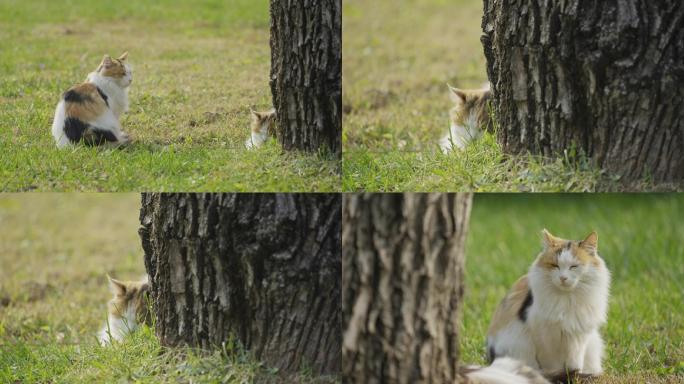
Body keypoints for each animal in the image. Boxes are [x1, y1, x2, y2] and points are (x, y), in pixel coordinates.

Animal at [486, 230, 608, 380]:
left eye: (574, 267)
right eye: (555, 265)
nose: (563, 278)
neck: (567, 300)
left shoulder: (578, 337)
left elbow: (574, 364)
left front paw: (574, 376)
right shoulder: (545, 337)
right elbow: (553, 365)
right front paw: (562, 376)